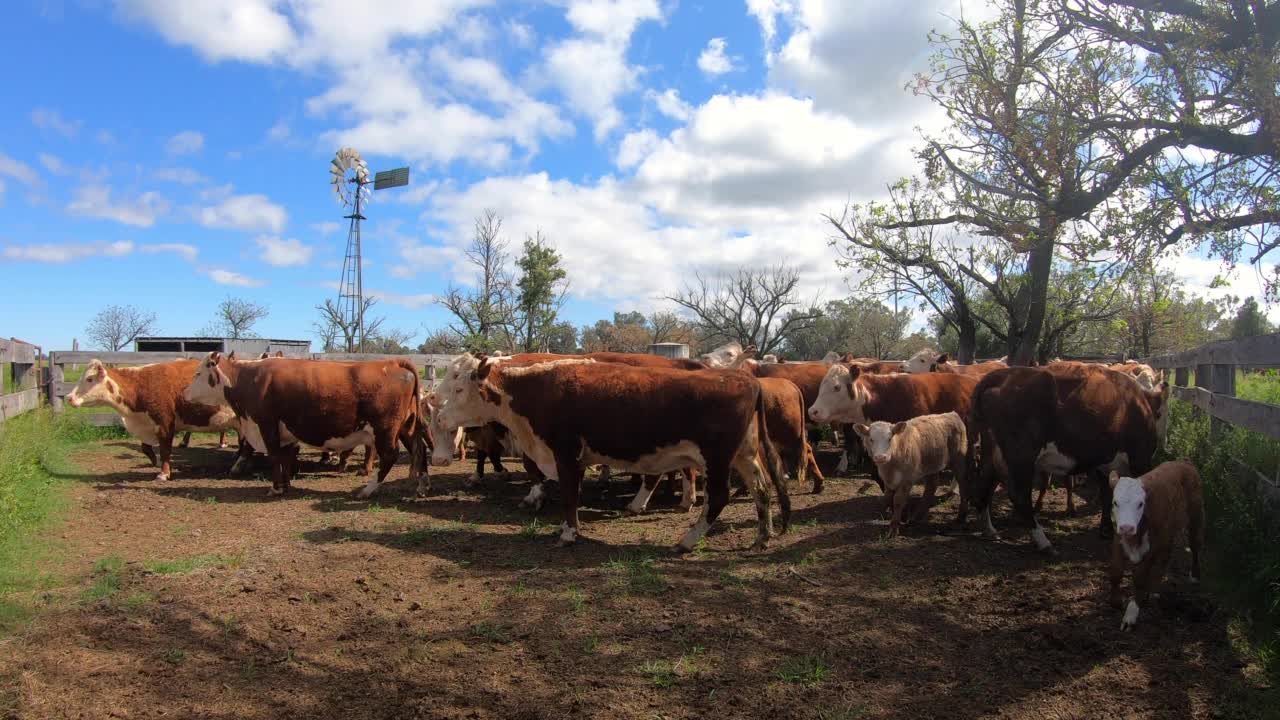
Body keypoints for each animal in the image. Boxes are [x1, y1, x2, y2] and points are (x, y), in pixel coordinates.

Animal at [64, 356, 238, 479]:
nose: (69, 397)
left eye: (89, 379)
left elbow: (165, 449)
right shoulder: (148, 423)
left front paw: (164, 473)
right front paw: (155, 461)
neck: (141, 384)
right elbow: (145, 447)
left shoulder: (165, 424)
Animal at [183, 351, 427, 497]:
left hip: (385, 429)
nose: (184, 393)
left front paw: (275, 488)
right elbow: (285, 457)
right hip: (405, 426)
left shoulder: (266, 425)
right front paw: (286, 484)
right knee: (419, 448)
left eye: (198, 373)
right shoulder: (286, 431)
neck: (249, 379)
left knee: (390, 456)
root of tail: (392, 362)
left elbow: (274, 456)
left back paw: (368, 489)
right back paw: (420, 487)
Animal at [435, 353, 783, 548]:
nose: (439, 415)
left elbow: (569, 497)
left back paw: (686, 541)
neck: (534, 390)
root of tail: (744, 379)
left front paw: (567, 534)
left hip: (717, 459)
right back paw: (762, 537)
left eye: (458, 388)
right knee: (762, 489)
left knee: (719, 497)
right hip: (744, 455)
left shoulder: (565, 455)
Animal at [967, 361, 1172, 550]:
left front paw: (1106, 529)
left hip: (992, 453)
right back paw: (1043, 542)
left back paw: (989, 529)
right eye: (1162, 412)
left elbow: (1107, 494)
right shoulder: (1140, 459)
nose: (1164, 443)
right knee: (1019, 495)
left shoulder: (1104, 463)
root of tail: (1003, 375)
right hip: (1021, 455)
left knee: (984, 485)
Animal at [1105, 458, 1203, 627]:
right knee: (1166, 556)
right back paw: (1155, 588)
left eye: (1140, 504)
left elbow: (1139, 577)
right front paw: (1116, 601)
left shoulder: (1153, 546)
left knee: (1195, 546)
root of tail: (1184, 462)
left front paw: (1131, 613)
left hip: (1195, 518)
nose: (1127, 527)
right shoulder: (1118, 539)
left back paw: (1194, 576)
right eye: (1115, 502)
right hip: (1168, 532)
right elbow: (1116, 571)